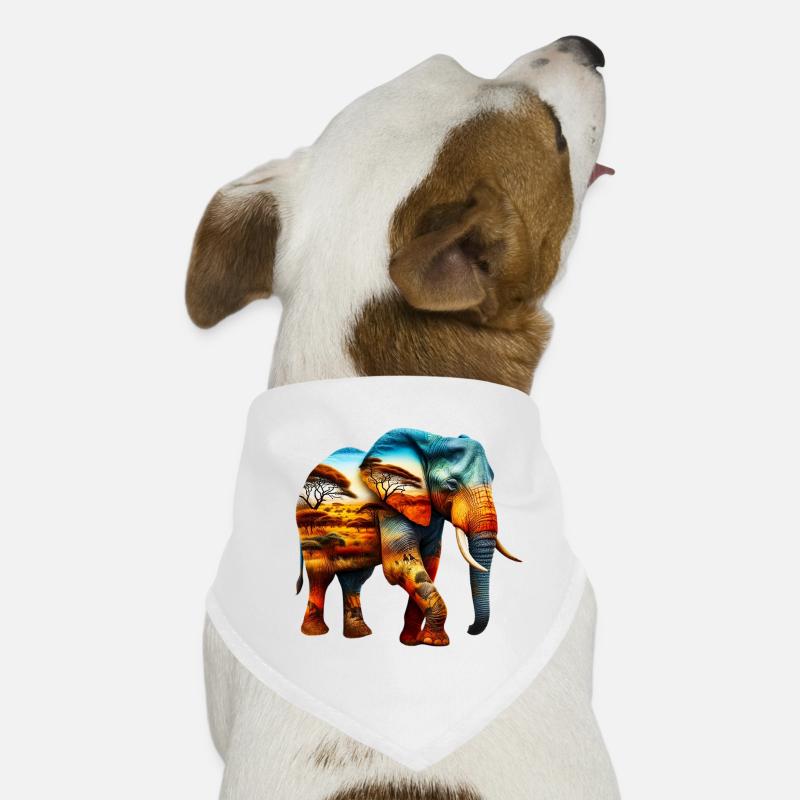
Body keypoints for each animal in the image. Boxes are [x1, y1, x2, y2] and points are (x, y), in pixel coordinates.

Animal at [295, 428, 521, 647]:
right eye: (452, 484)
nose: (469, 628)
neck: (431, 443)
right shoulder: (388, 508)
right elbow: (400, 567)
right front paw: (435, 642)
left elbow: (429, 565)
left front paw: (413, 642)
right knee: (321, 575)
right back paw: (315, 632)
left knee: (355, 578)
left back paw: (359, 634)